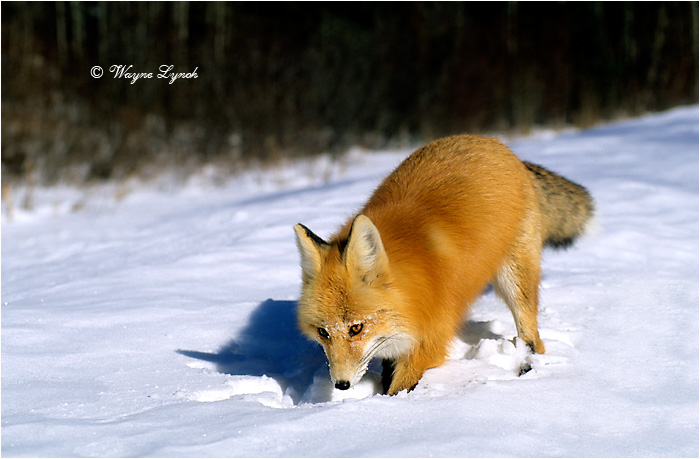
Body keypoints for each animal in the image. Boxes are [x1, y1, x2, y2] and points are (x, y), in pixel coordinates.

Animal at [294, 135, 594, 395]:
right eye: (323, 332)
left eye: (356, 328)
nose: (341, 385)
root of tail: (495, 143)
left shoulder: (430, 340)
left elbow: (399, 388)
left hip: (515, 279)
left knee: (533, 339)